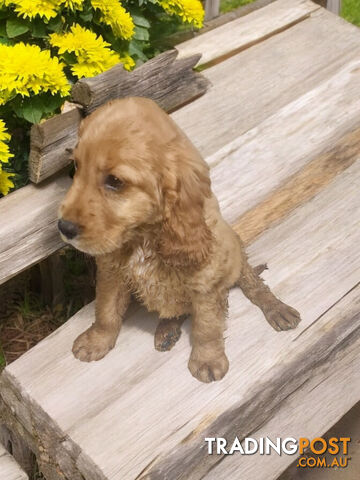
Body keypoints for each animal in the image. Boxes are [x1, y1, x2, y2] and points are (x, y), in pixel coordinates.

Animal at [59, 96, 300, 382]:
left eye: (115, 181)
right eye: (76, 167)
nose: (63, 227)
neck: (143, 237)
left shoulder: (206, 281)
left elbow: (206, 326)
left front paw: (207, 359)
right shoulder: (111, 272)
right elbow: (106, 310)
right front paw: (96, 341)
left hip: (237, 255)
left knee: (254, 284)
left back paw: (276, 308)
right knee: (176, 310)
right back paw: (167, 331)